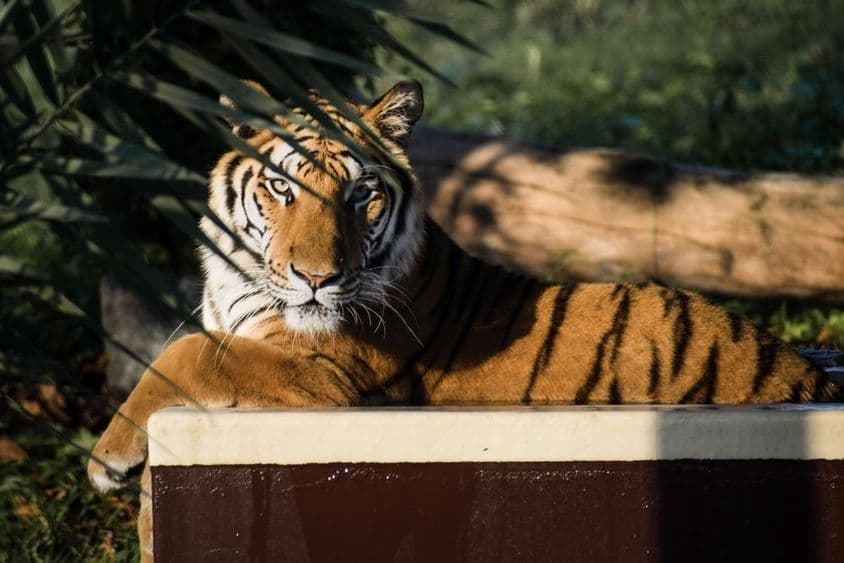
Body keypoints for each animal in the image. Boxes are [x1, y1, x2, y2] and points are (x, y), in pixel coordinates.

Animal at [87, 79, 841, 560]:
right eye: (283, 188)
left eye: (360, 195)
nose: (317, 278)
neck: (242, 280)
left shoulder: (328, 380)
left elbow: (190, 352)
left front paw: (105, 458)